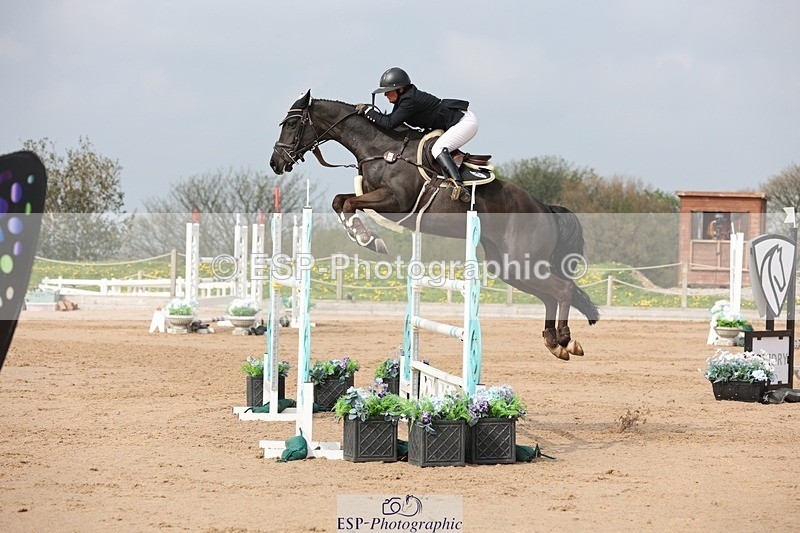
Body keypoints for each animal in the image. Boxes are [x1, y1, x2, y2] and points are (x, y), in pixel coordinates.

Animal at [269, 90, 599, 360]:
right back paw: (555, 343)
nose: (276, 163)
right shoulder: (377, 199)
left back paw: (565, 339)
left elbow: (349, 205)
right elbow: (340, 201)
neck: (381, 148)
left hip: (522, 260)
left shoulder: (395, 201)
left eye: (292, 124)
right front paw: (364, 235)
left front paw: (369, 239)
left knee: (562, 289)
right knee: (550, 294)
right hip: (509, 267)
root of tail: (545, 208)